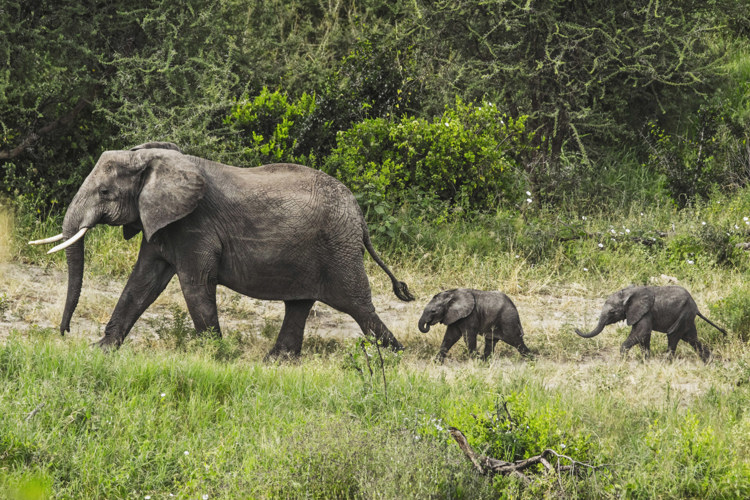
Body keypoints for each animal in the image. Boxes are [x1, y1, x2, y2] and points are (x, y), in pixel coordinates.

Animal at [29, 142, 414, 358]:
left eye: (105, 193)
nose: (63, 334)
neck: (156, 160)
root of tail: (360, 216)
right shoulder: (163, 222)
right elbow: (142, 282)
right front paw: (101, 350)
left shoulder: (194, 225)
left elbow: (195, 284)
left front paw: (217, 355)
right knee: (299, 304)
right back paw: (277, 361)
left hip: (338, 248)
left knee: (358, 305)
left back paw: (395, 357)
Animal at [575, 285, 726, 362]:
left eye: (612, 312)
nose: (576, 328)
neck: (628, 293)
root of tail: (696, 307)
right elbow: (644, 336)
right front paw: (645, 361)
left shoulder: (646, 312)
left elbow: (642, 332)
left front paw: (623, 360)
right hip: (687, 317)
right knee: (691, 338)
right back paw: (709, 361)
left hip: (684, 314)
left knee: (673, 335)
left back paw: (666, 363)